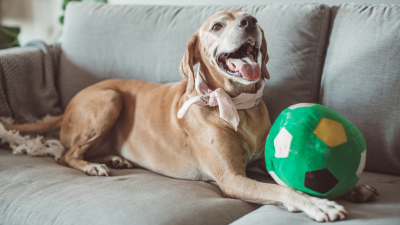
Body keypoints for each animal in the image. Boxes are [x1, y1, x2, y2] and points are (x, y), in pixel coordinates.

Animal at [3, 10, 378, 221]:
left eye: (249, 16)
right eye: (217, 26)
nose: (251, 21)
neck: (237, 105)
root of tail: (67, 105)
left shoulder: (261, 162)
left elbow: (288, 179)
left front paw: (353, 189)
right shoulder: (232, 179)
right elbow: (285, 191)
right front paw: (320, 205)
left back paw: (114, 158)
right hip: (109, 99)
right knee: (66, 155)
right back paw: (93, 165)